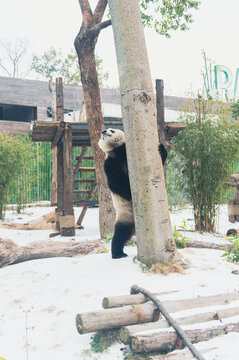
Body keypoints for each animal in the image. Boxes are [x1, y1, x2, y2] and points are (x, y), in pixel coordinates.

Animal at [98, 129, 167, 258]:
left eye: (112, 130)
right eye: (101, 135)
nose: (103, 131)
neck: (117, 151)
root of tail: (135, 229)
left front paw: (161, 149)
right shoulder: (110, 163)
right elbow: (117, 184)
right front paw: (130, 191)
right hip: (124, 216)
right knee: (120, 235)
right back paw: (118, 254)